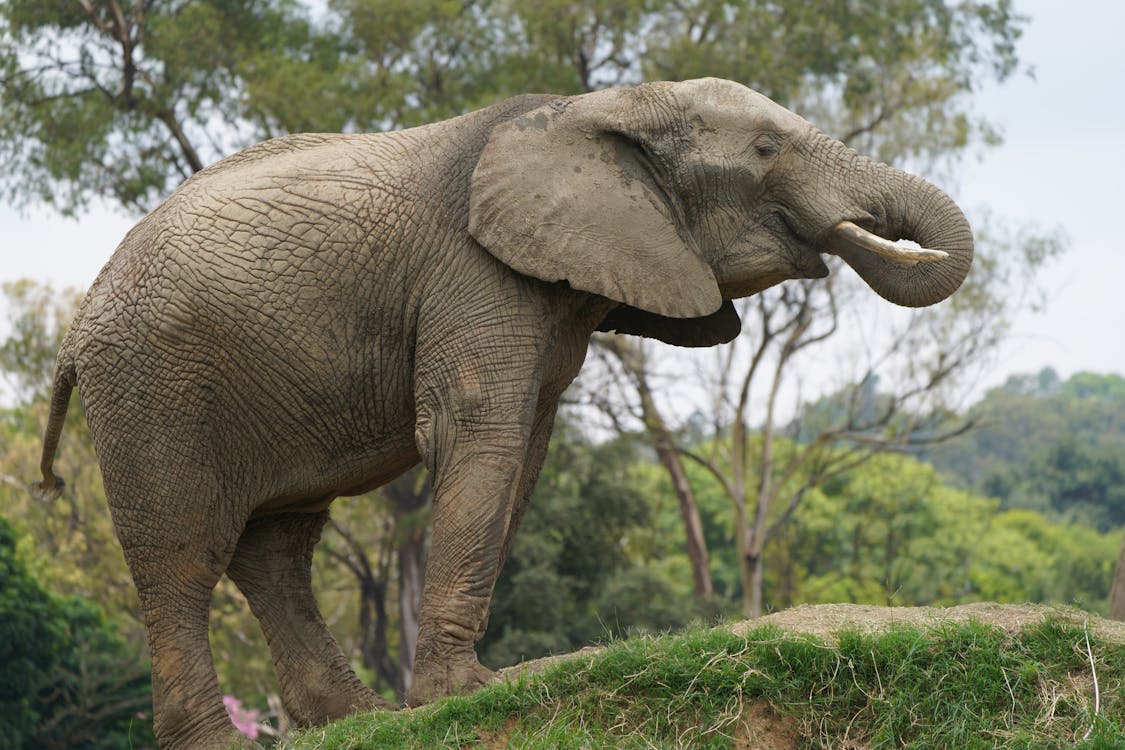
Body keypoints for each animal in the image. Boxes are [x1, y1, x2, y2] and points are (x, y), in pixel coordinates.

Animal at [32, 77, 967, 750]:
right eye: (767, 148)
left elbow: (527, 444)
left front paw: (449, 694)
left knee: (277, 548)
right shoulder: (476, 272)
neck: (603, 106)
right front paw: (467, 695)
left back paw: (359, 720)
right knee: (183, 560)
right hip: (155, 387)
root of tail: (76, 329)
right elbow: (478, 428)